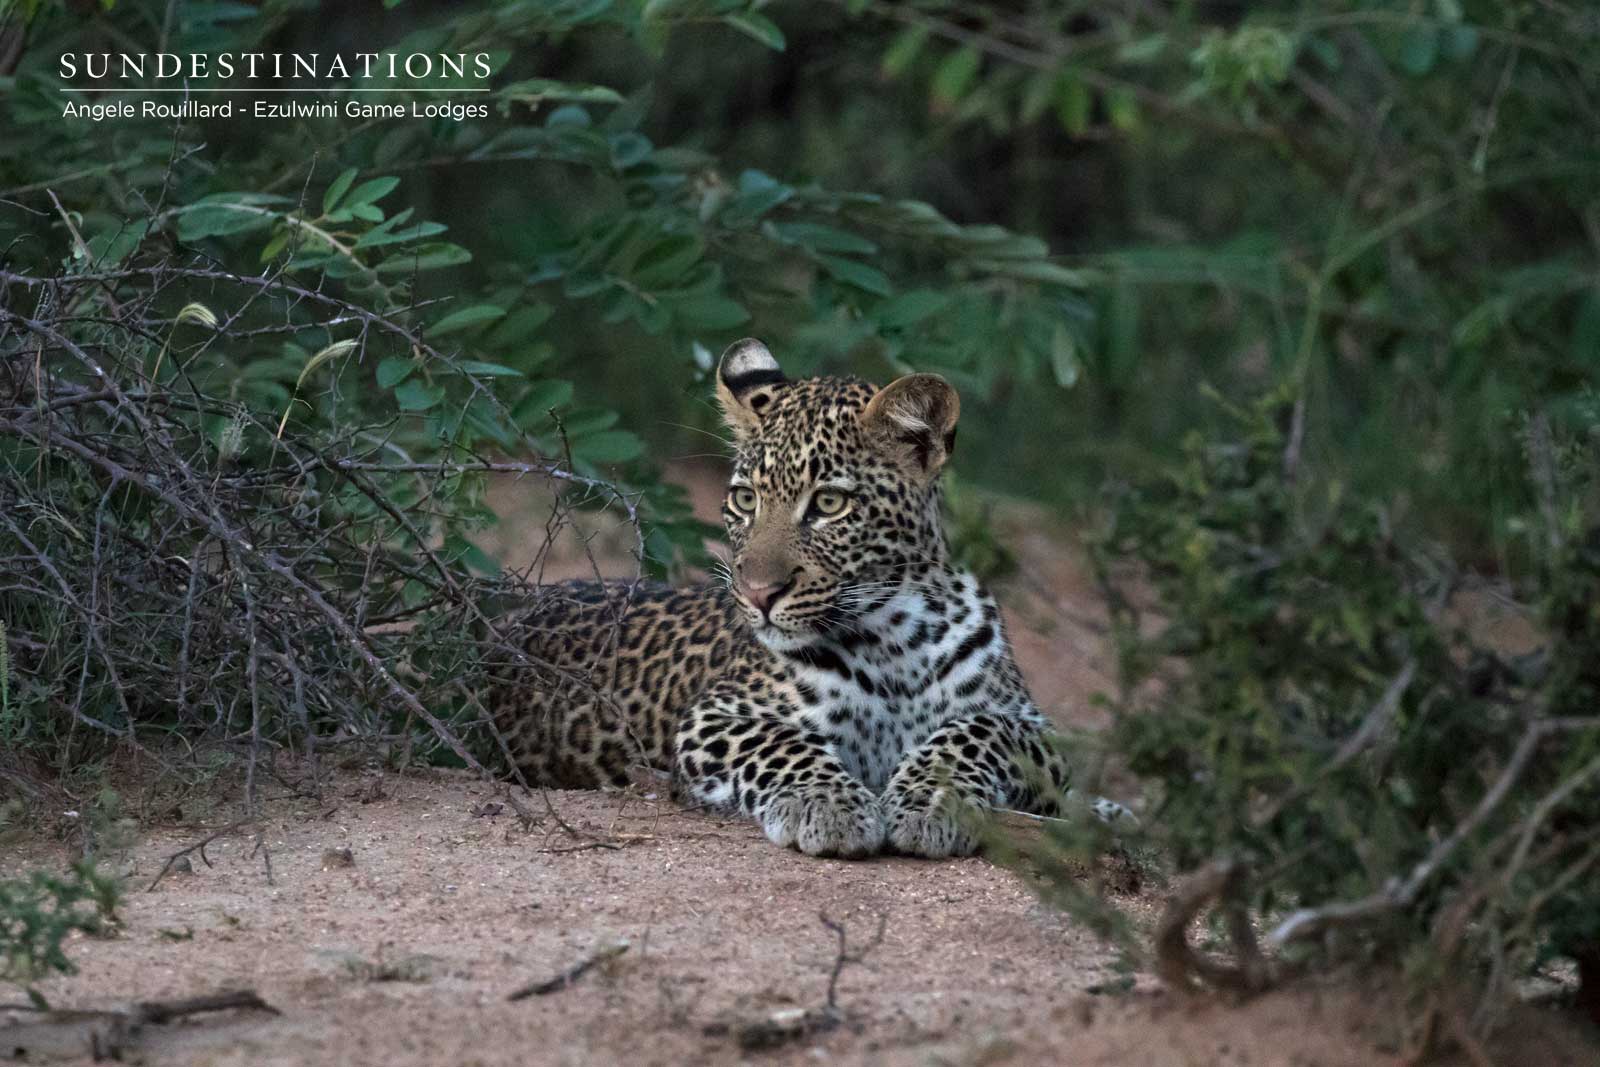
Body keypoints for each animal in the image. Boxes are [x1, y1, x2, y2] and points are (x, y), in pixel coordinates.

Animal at [491, 338, 1130, 858]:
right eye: (746, 499)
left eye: (828, 504)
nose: (758, 593)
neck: (893, 639)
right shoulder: (715, 714)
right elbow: (781, 741)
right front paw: (827, 805)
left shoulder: (1031, 724)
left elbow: (972, 733)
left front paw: (929, 801)